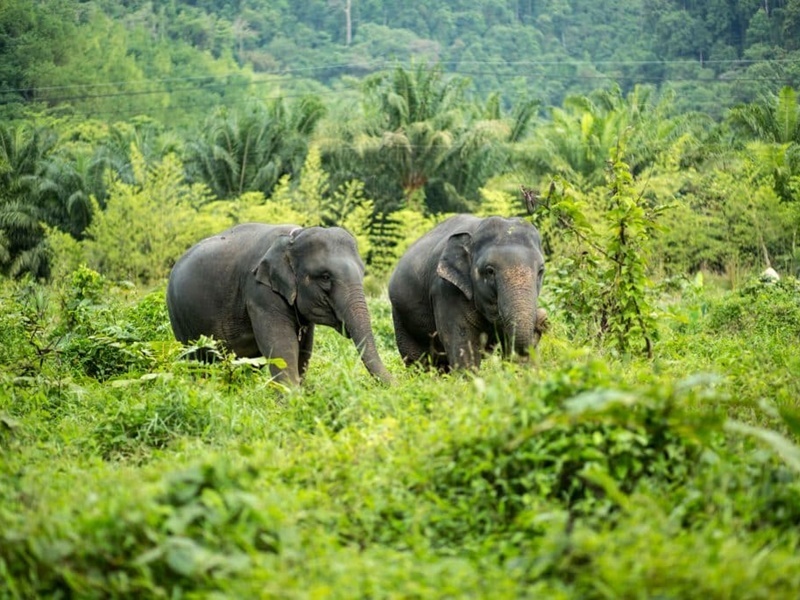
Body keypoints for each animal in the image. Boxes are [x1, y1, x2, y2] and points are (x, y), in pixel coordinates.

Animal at [166, 223, 392, 385]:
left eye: (362, 273)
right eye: (325, 277)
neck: (294, 237)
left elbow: (304, 349)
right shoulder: (260, 293)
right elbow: (282, 346)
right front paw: (291, 404)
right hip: (179, 318)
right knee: (194, 360)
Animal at [388, 214, 547, 371]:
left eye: (541, 271)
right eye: (490, 271)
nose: (542, 317)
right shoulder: (445, 290)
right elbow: (462, 344)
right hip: (400, 317)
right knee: (419, 363)